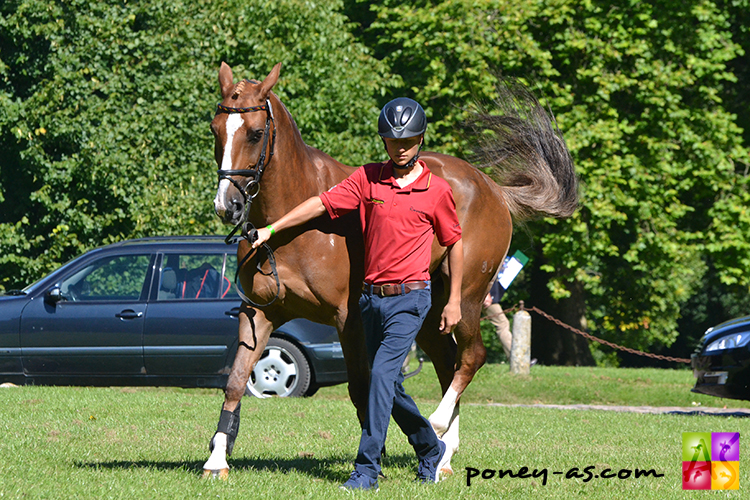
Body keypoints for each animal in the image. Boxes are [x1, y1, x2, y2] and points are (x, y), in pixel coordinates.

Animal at [203, 62, 580, 480]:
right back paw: (444, 454)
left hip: (465, 299)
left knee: (471, 358)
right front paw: (217, 458)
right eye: (215, 130)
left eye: (255, 133)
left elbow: (361, 386)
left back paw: (438, 428)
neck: (293, 223)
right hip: (433, 315)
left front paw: (375, 457)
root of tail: (492, 188)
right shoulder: (258, 313)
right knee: (448, 364)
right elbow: (236, 381)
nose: (228, 205)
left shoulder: (348, 318)